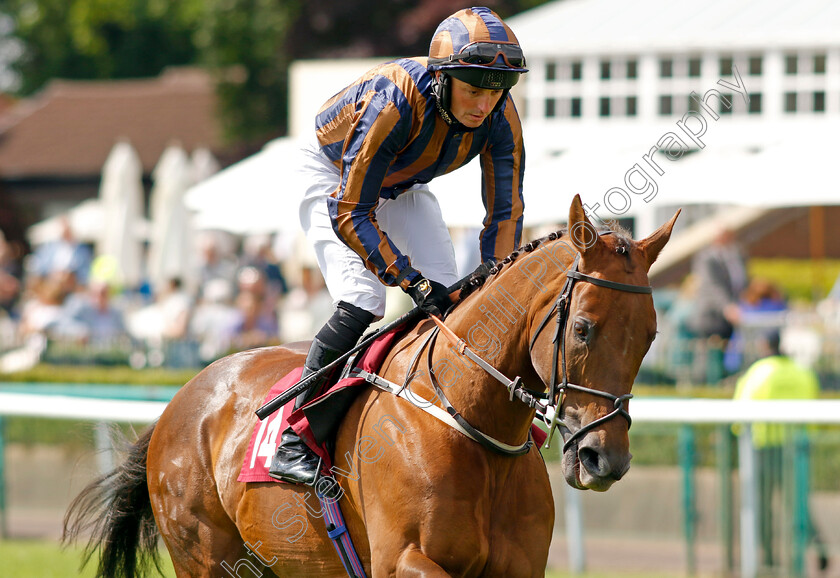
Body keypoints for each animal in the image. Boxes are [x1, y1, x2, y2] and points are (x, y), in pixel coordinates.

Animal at [64, 196, 684, 572]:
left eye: (651, 335)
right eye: (582, 328)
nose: (606, 458)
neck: (470, 423)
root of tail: (181, 402)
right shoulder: (403, 560)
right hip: (206, 556)